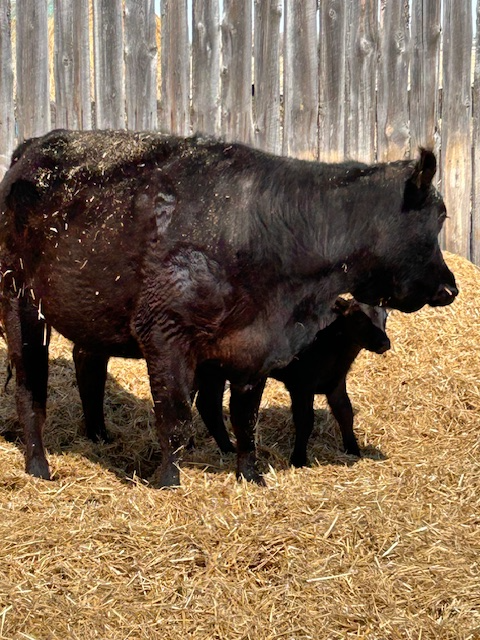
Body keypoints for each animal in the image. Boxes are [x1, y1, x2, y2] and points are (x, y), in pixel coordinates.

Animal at [195, 298, 391, 468]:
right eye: (359, 317)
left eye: (385, 317)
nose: (384, 343)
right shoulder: (302, 385)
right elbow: (305, 420)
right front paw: (298, 459)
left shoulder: (336, 383)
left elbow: (345, 413)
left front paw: (353, 450)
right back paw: (227, 448)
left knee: (206, 405)